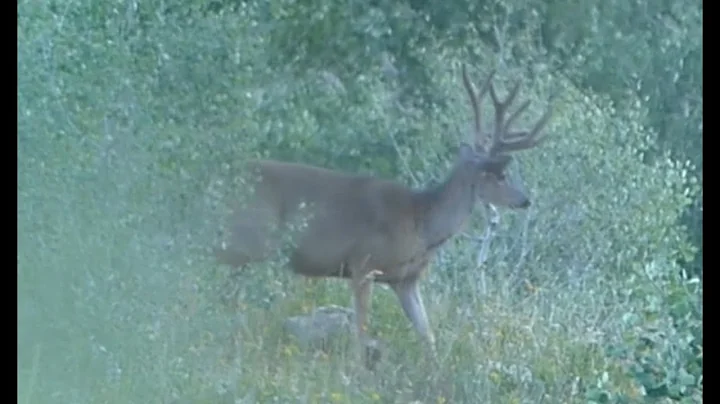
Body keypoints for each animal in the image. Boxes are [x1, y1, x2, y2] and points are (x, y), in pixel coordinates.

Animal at [215, 64, 553, 365]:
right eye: (500, 175)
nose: (525, 200)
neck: (421, 223)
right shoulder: (363, 262)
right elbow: (361, 331)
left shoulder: (406, 280)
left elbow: (427, 336)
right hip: (249, 236)